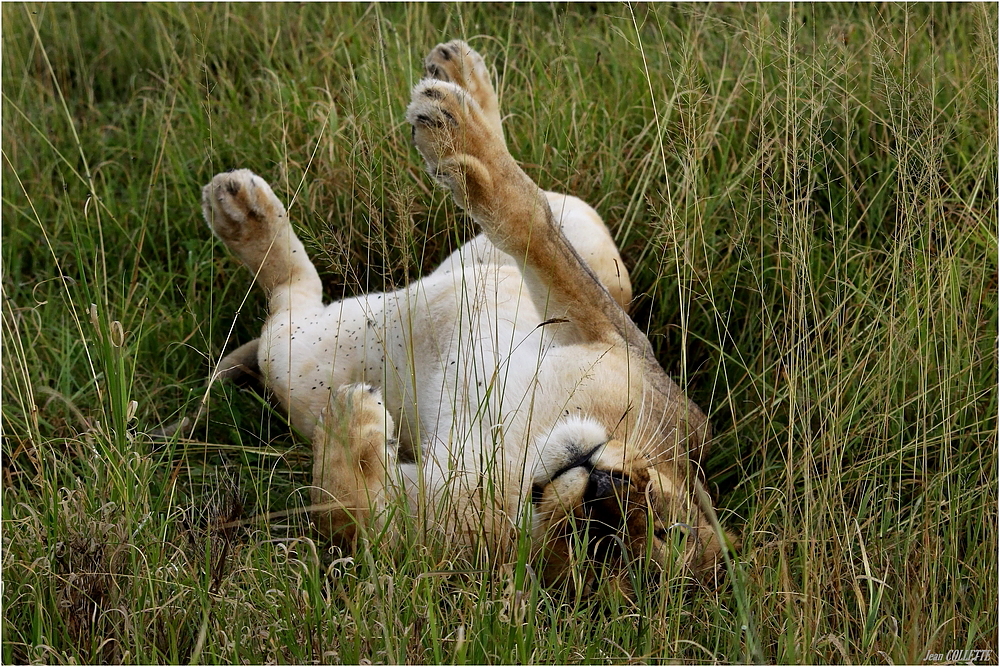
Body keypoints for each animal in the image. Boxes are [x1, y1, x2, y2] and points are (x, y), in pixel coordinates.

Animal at [199, 39, 732, 592]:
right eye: (669, 528)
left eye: (607, 554)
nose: (604, 495)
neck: (526, 454)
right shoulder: (622, 344)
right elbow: (531, 223)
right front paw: (462, 138)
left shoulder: (425, 533)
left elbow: (349, 518)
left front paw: (353, 419)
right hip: (597, 249)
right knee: (547, 214)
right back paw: (460, 83)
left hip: (300, 364)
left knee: (284, 310)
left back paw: (244, 217)